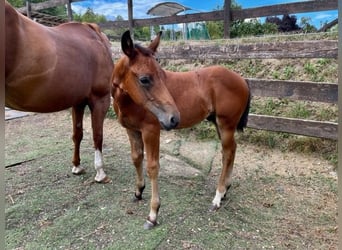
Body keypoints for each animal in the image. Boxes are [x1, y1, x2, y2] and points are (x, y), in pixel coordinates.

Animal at [5, 2, 113, 184]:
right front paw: (100, 172)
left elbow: (77, 134)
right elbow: (98, 136)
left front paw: (77, 166)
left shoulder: (78, 102)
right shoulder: (100, 99)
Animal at [113, 30, 251, 228]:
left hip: (226, 125)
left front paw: (153, 214)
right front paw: (138, 192)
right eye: (144, 79)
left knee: (228, 152)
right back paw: (225, 191)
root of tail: (242, 80)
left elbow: (153, 166)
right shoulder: (132, 130)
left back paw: (218, 196)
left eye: (162, 74)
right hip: (220, 124)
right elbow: (136, 158)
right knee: (230, 151)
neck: (129, 102)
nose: (173, 118)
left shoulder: (151, 131)